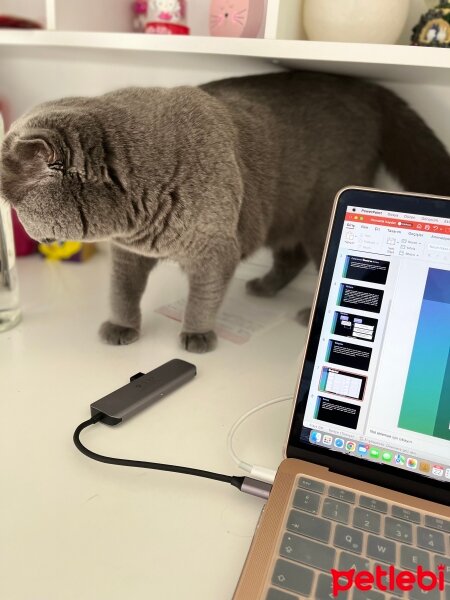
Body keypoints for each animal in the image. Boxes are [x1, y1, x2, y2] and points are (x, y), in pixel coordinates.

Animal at [0, 71, 450, 352]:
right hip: (285, 210)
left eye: (18, 209)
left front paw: (197, 336)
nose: (32, 235)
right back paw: (264, 287)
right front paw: (122, 327)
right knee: (291, 256)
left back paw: (307, 314)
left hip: (321, 209)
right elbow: (121, 292)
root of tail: (369, 88)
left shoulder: (215, 250)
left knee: (317, 256)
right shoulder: (129, 254)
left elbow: (204, 295)